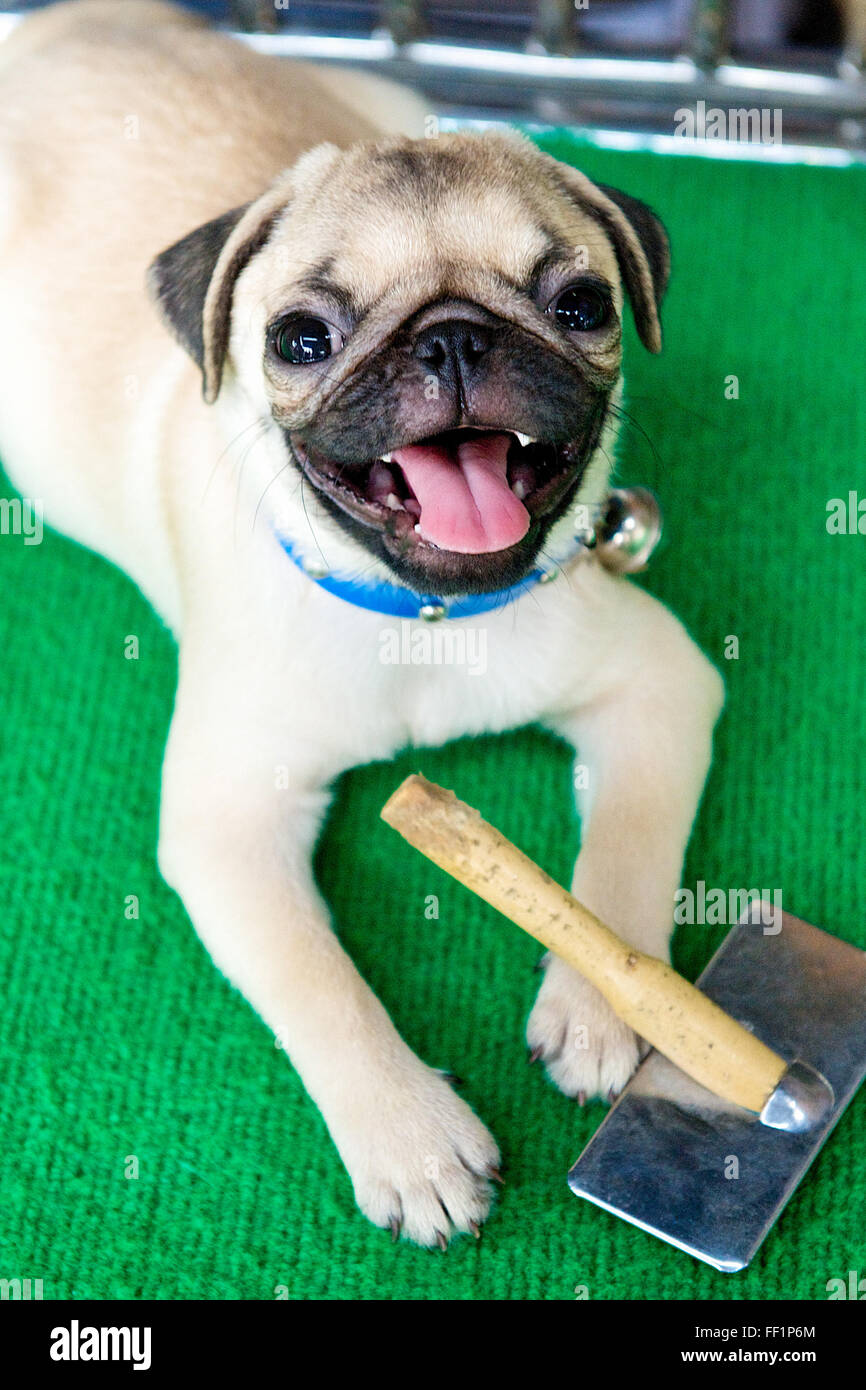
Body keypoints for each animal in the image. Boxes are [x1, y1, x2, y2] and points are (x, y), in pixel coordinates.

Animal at [0, 0, 722, 1245]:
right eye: (299, 338)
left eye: (581, 306)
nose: (452, 338)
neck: (424, 612)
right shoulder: (230, 822)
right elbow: (317, 981)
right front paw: (407, 1135)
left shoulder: (660, 681)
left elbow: (623, 855)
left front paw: (602, 1001)